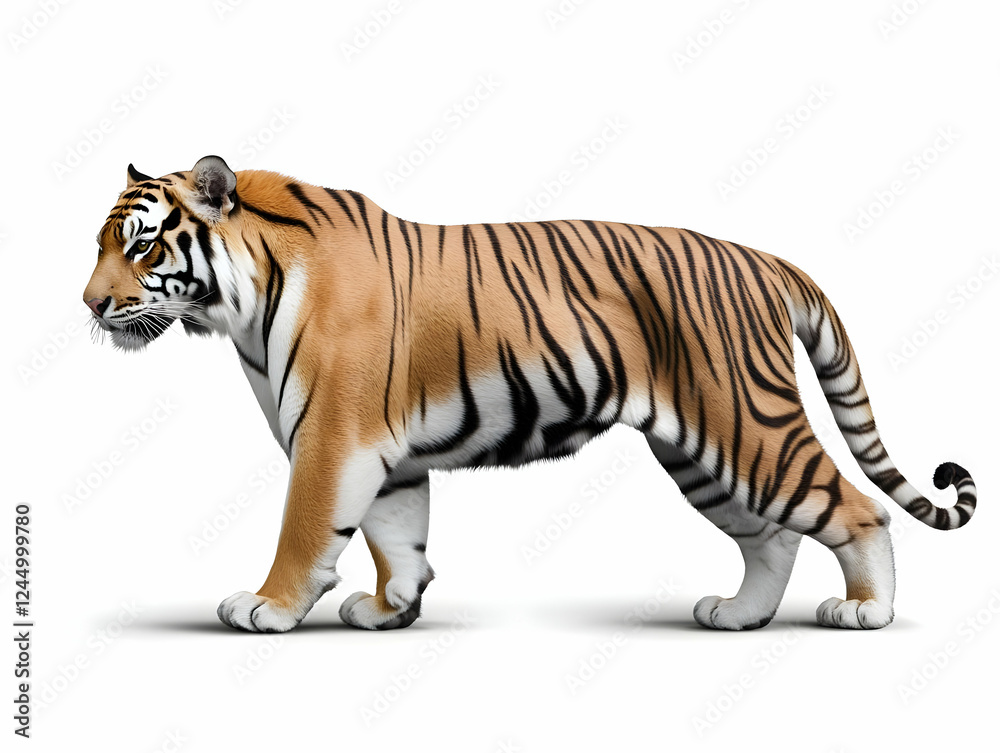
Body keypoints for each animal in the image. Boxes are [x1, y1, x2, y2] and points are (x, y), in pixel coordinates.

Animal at [83, 155, 977, 632]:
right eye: (100, 244)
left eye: (144, 244)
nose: (89, 305)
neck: (240, 301)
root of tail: (764, 259)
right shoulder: (384, 452)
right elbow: (398, 534)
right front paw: (391, 608)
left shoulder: (331, 437)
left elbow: (306, 531)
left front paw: (266, 606)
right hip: (697, 450)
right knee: (772, 536)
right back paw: (738, 613)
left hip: (746, 426)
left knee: (856, 509)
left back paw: (865, 611)